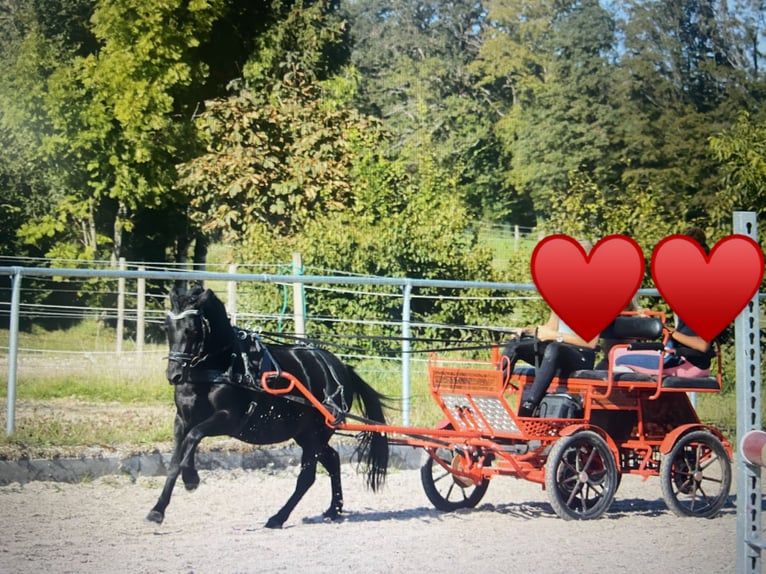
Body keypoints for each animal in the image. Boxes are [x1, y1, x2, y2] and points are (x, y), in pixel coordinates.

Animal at [146, 288, 390, 532]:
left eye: (193, 329)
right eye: (166, 327)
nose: (174, 374)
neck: (222, 367)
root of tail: (341, 368)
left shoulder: (228, 418)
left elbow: (194, 437)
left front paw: (191, 479)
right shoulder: (182, 420)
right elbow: (175, 461)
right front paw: (157, 510)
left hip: (315, 434)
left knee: (308, 476)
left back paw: (278, 517)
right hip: (306, 434)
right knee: (332, 460)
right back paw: (333, 510)